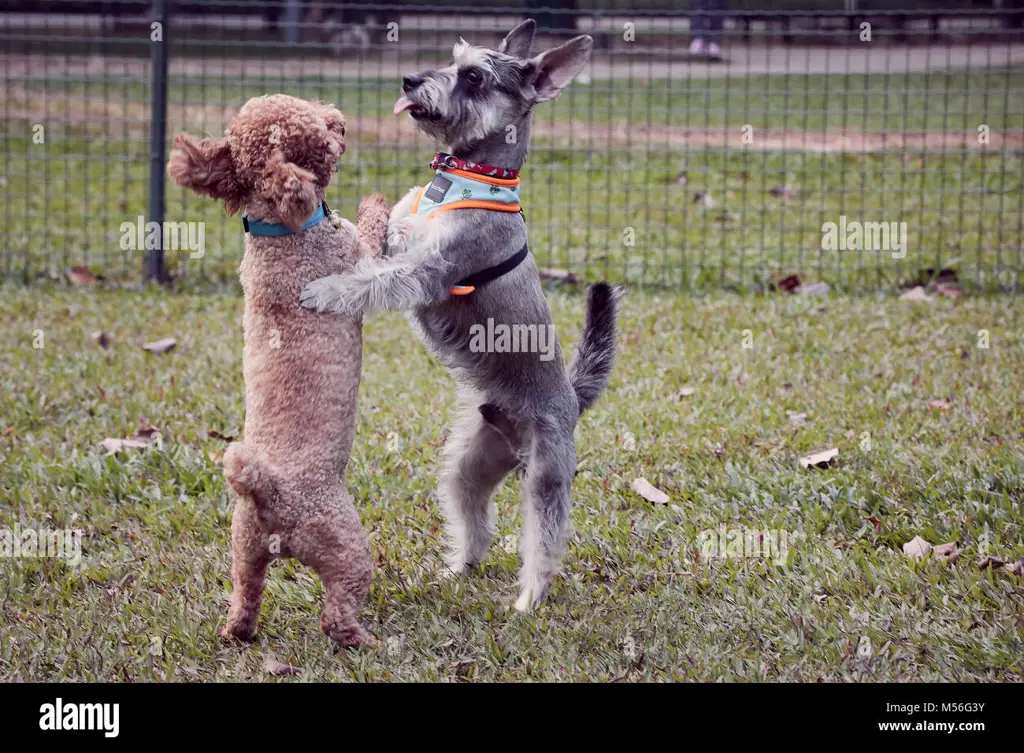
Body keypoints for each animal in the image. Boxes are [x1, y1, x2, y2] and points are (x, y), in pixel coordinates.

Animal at [167, 94, 391, 647]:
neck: (281, 232)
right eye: (318, 133)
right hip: (344, 544)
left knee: (245, 594)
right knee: (337, 613)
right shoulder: (358, 261)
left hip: (243, 549)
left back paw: (238, 631)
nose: (339, 119)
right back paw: (365, 641)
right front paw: (375, 202)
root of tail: (268, 494)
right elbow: (372, 234)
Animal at [299, 22, 618, 614]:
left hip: (546, 476)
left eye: (474, 77)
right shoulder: (399, 235)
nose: (409, 79)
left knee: (543, 542)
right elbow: (375, 241)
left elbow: (375, 279)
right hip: (471, 464)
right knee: (475, 522)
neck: (466, 178)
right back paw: (456, 570)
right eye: (452, 59)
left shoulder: (430, 269)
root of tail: (571, 397)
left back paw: (528, 600)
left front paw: (326, 290)